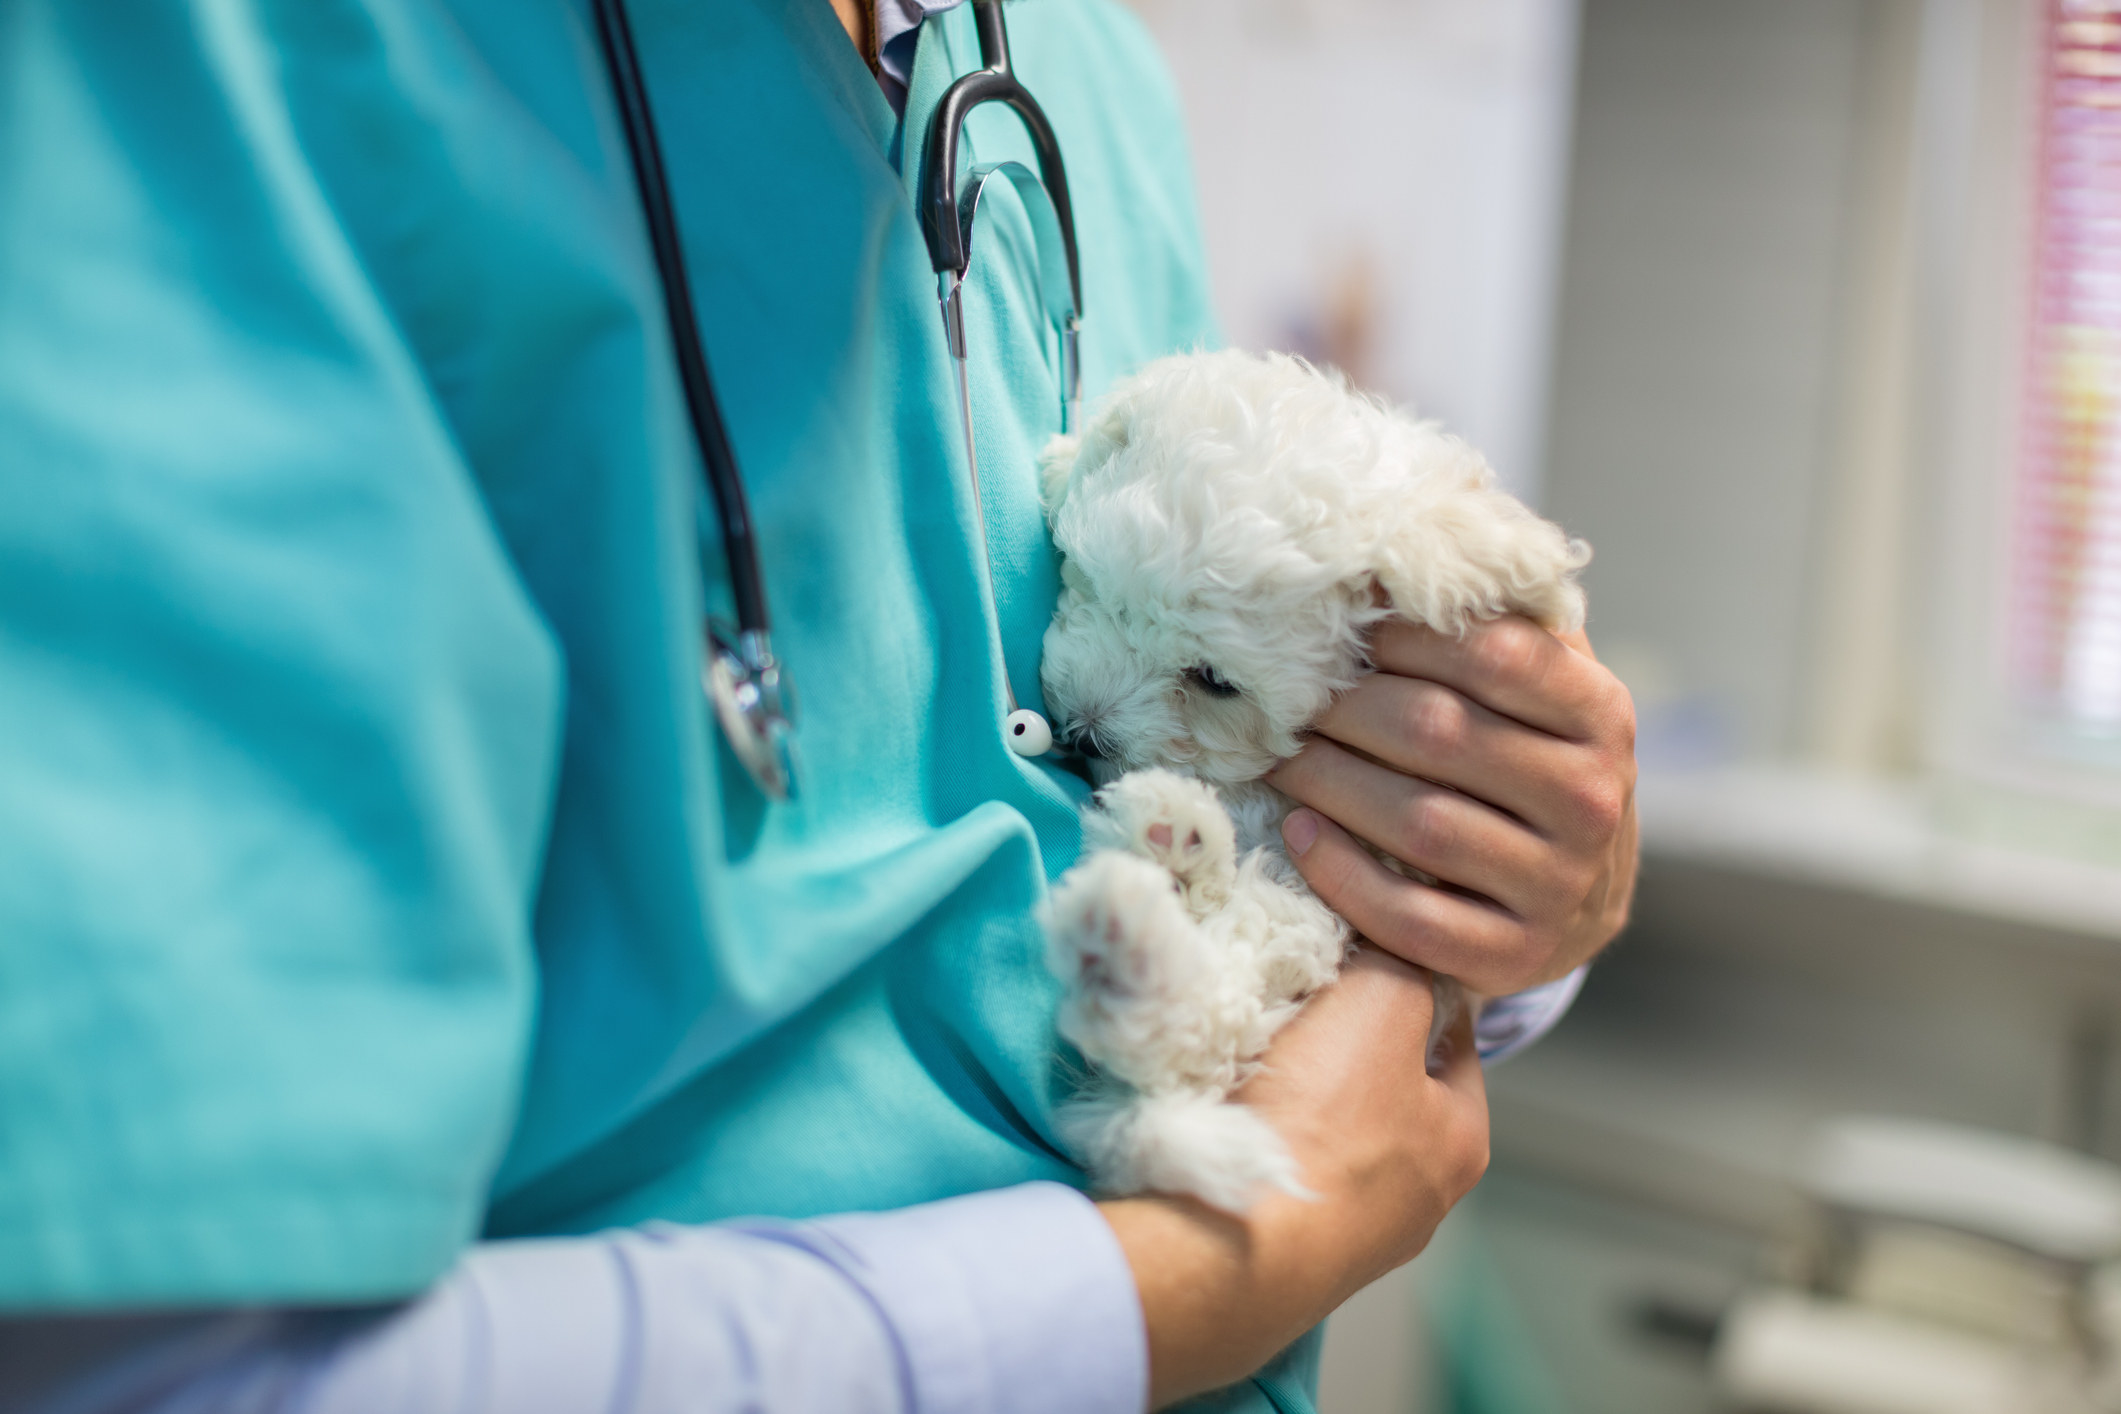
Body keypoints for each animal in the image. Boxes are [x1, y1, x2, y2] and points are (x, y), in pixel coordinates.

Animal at [1035, 347, 1586, 1212]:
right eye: (1095, 587)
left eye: (1214, 681)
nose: (1082, 732)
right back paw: (1165, 848)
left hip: (1300, 928)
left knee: (1203, 1025)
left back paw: (1138, 915)